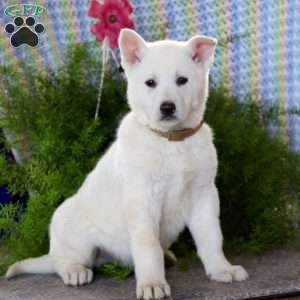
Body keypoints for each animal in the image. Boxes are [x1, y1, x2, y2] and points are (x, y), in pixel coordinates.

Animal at [5, 29, 247, 298]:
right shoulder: (142, 199)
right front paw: (152, 284)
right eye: (150, 83)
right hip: (71, 229)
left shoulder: (203, 195)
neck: (170, 141)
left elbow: (211, 237)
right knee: (62, 261)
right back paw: (74, 271)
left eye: (182, 80)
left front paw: (221, 269)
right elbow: (147, 246)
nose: (167, 107)